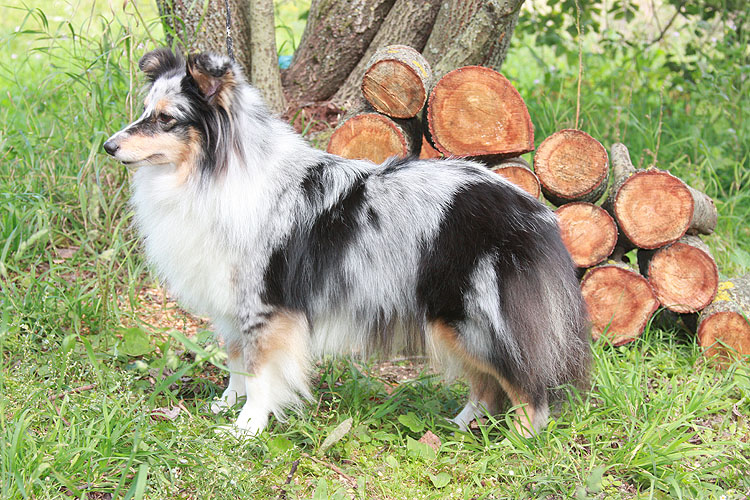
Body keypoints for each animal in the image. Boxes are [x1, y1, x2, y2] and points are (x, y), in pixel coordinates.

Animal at [103, 47, 592, 438]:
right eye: (144, 111)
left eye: (166, 119)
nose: (109, 146)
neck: (214, 173)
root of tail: (536, 213)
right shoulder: (232, 302)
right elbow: (237, 360)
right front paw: (227, 404)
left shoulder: (264, 304)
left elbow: (259, 371)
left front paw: (247, 427)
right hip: (456, 325)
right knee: (487, 386)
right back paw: (457, 429)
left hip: (475, 318)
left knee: (524, 383)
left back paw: (518, 440)